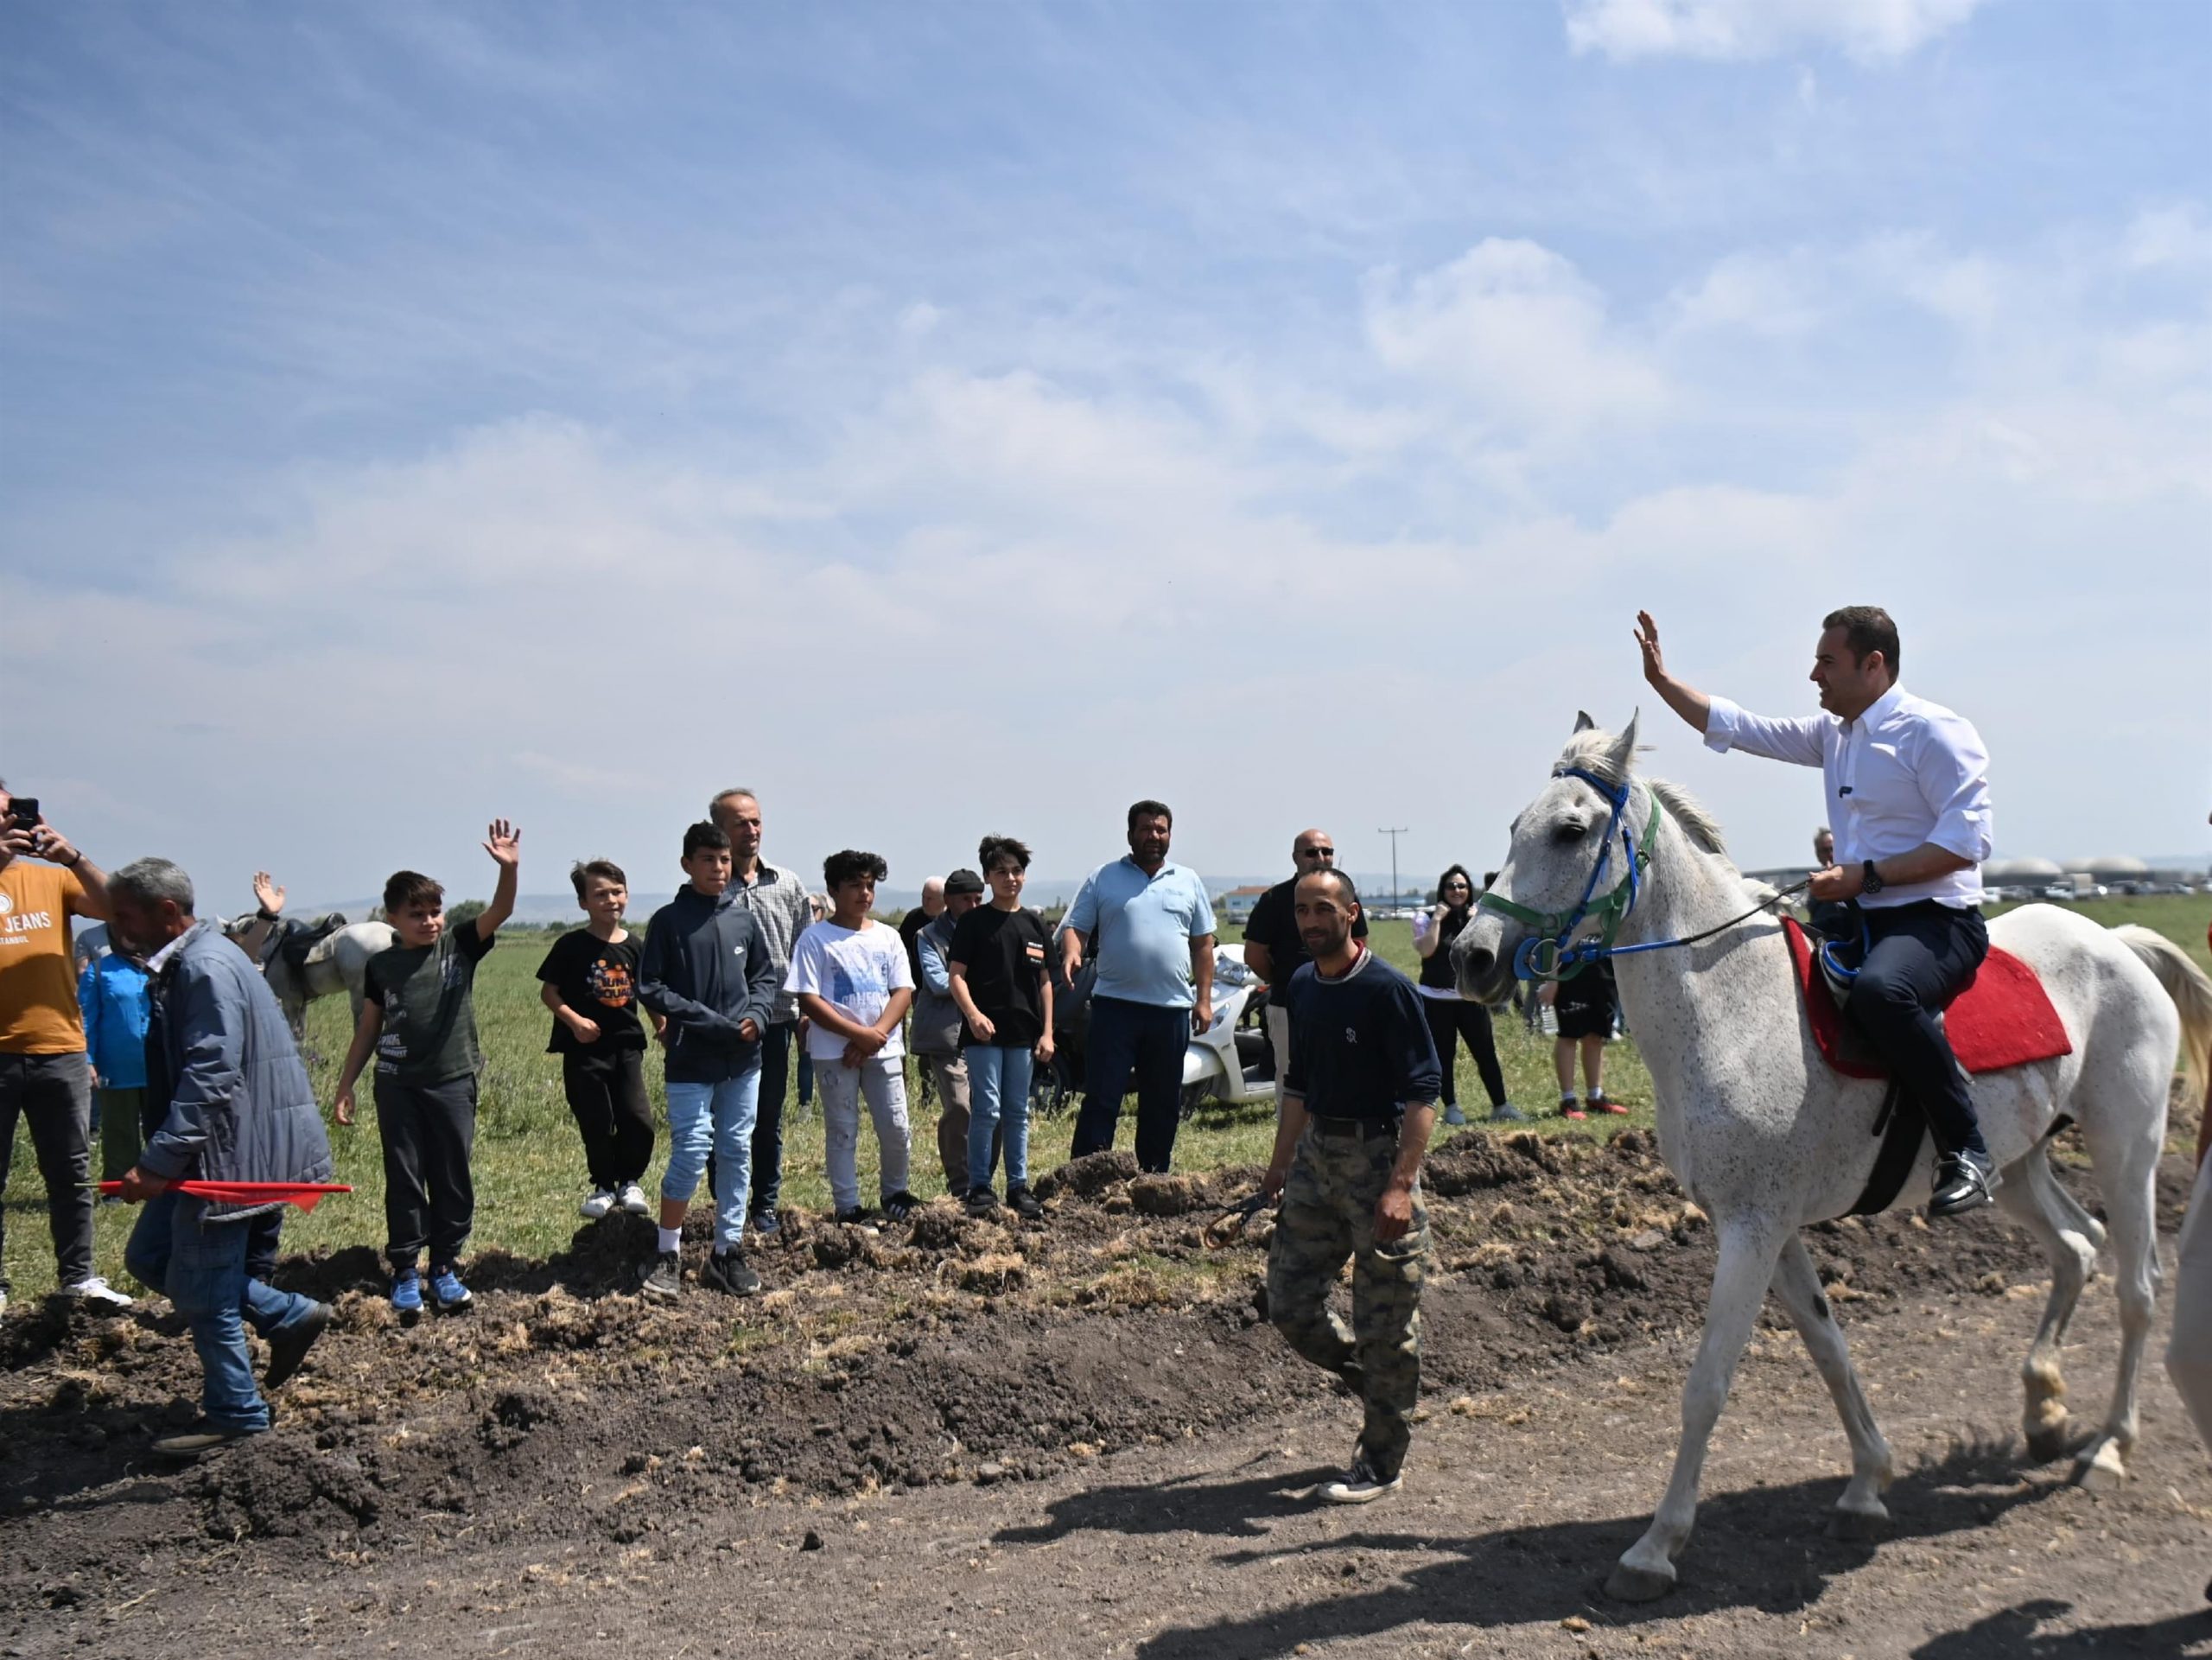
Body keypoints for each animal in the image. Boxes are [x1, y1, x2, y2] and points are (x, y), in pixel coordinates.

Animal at [1451, 721, 2212, 1602]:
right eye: (1516, 825)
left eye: (1572, 829)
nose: (1471, 957)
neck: (1733, 1009)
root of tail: (2115, 942)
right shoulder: (1770, 1228)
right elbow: (1829, 1349)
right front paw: (1866, 1485)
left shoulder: (1749, 1230)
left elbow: (1707, 1385)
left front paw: (1655, 1547)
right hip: (2018, 1167)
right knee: (2077, 1247)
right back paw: (2044, 1411)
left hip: (2129, 1145)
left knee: (2136, 1286)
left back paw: (2109, 1445)